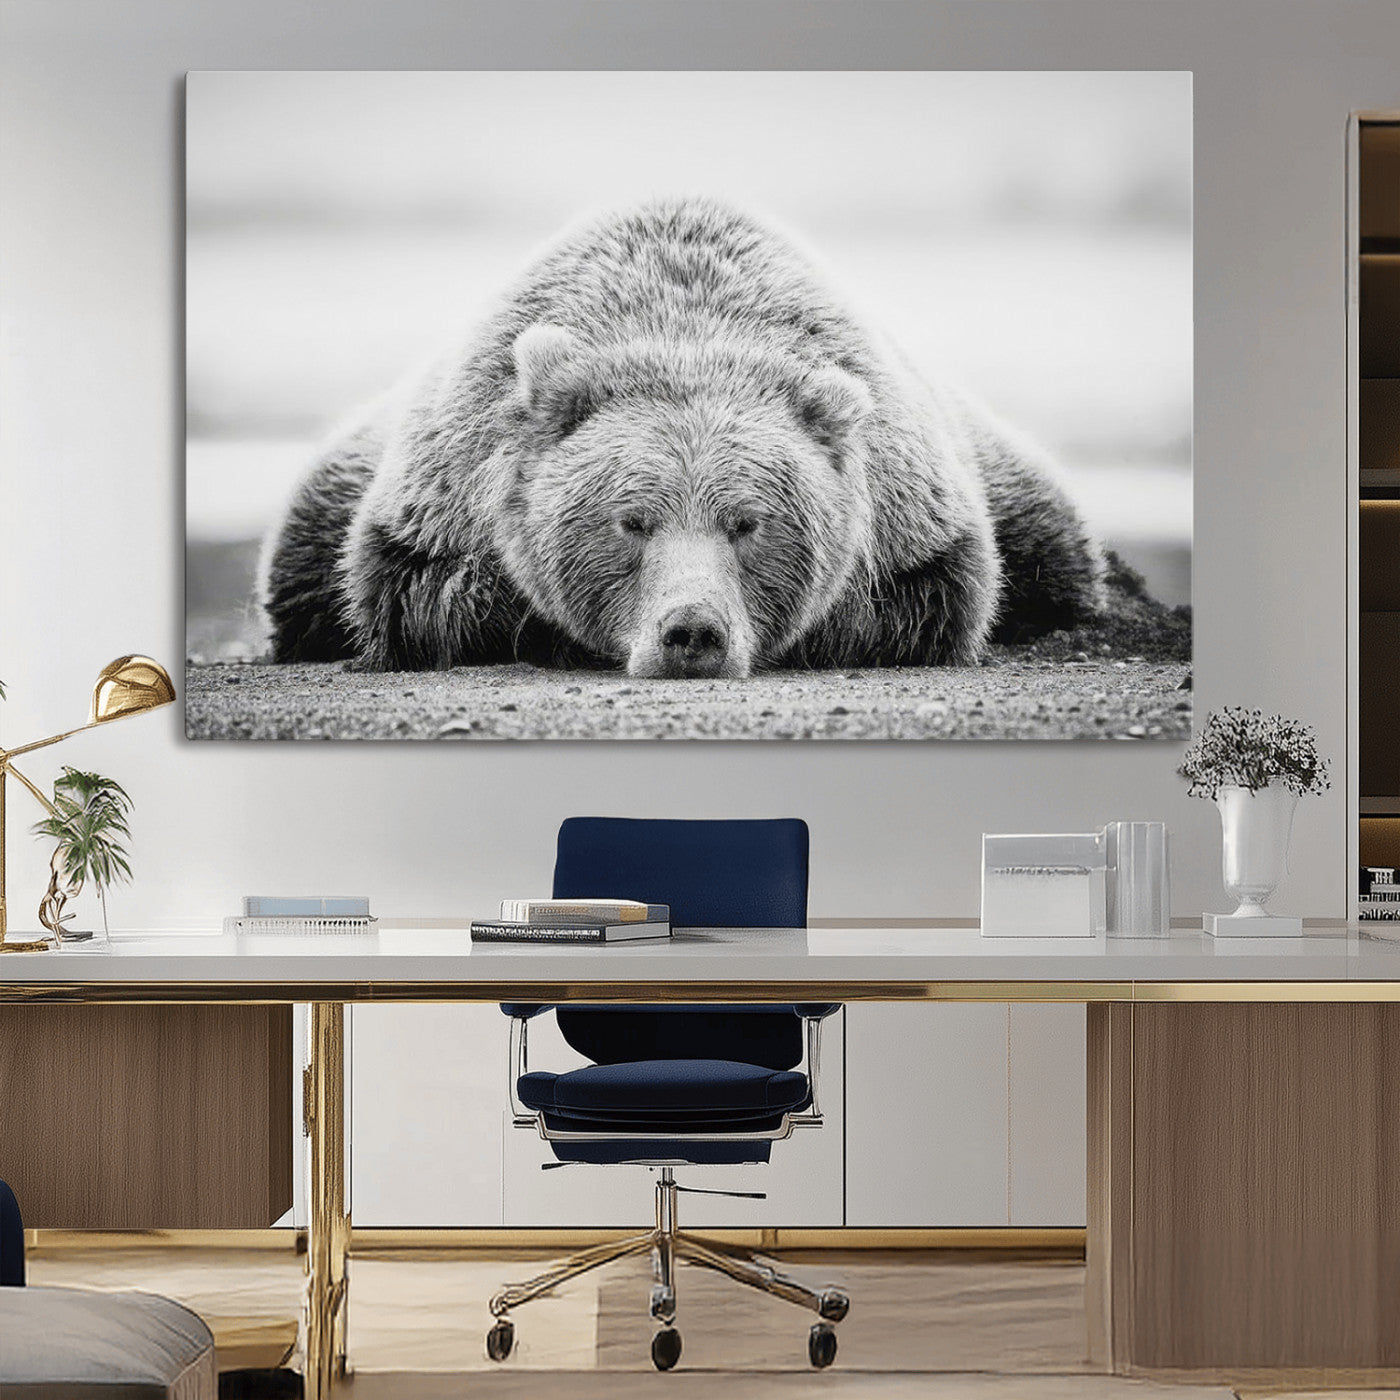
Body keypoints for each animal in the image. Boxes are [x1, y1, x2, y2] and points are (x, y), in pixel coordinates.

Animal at [261, 196, 1103, 677]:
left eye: (749, 523)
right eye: (631, 521)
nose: (691, 632)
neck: (684, 328)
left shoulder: (913, 515)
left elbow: (931, 597)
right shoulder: (441, 496)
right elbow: (420, 593)